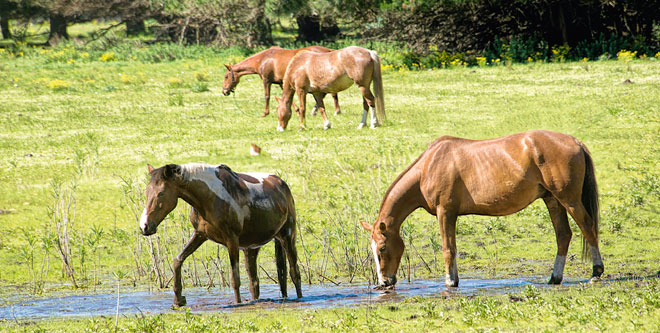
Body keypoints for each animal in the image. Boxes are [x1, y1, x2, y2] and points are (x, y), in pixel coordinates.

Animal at [142, 162, 304, 304]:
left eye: (161, 193)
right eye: (147, 192)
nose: (144, 226)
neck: (210, 197)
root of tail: (280, 183)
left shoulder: (231, 240)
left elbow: (234, 278)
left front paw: (238, 303)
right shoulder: (200, 235)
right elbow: (177, 260)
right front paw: (178, 300)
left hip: (288, 236)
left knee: (294, 273)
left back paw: (300, 297)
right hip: (251, 248)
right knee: (254, 282)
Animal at [360, 131, 604, 290]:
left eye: (382, 248)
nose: (384, 282)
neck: (429, 166)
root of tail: (575, 141)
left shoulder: (445, 212)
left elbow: (448, 248)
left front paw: (450, 282)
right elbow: (452, 247)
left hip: (569, 200)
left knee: (588, 228)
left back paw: (596, 273)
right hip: (552, 200)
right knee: (563, 235)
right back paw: (555, 277)